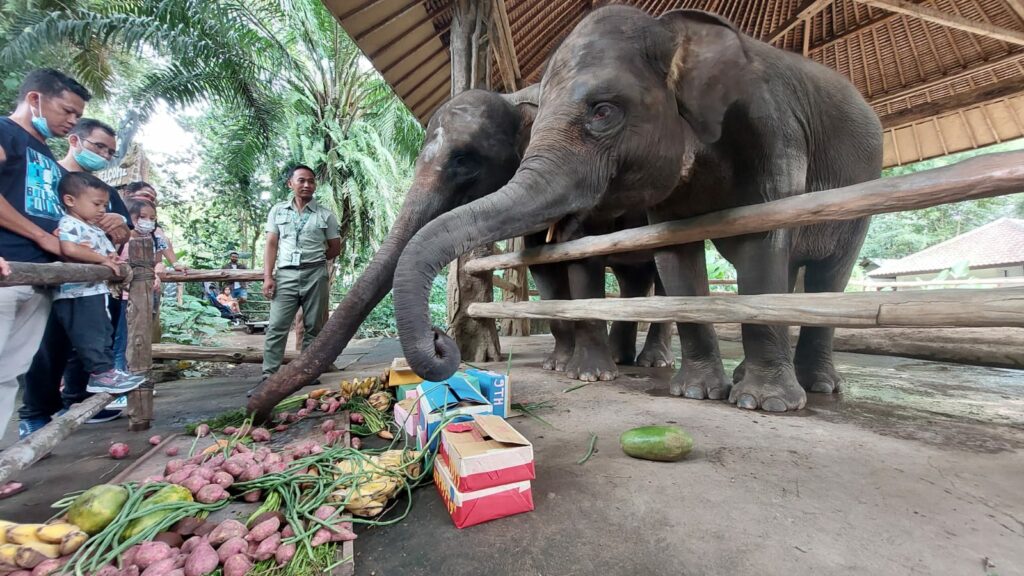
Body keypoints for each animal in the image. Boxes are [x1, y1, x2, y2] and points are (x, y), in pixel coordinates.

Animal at [246, 84, 671, 416]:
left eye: (464, 160)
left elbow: (578, 251)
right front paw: (557, 364)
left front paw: (586, 374)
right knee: (634, 276)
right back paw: (623, 356)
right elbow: (542, 264)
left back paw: (653, 361)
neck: (516, 97)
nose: (252, 409)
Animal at [389, 3, 880, 407]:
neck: (671, 27)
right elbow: (589, 258)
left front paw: (762, 403)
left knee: (828, 275)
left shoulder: (774, 132)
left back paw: (812, 386)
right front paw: (683, 390)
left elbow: (760, 239)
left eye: (603, 111)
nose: (440, 340)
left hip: (861, 190)